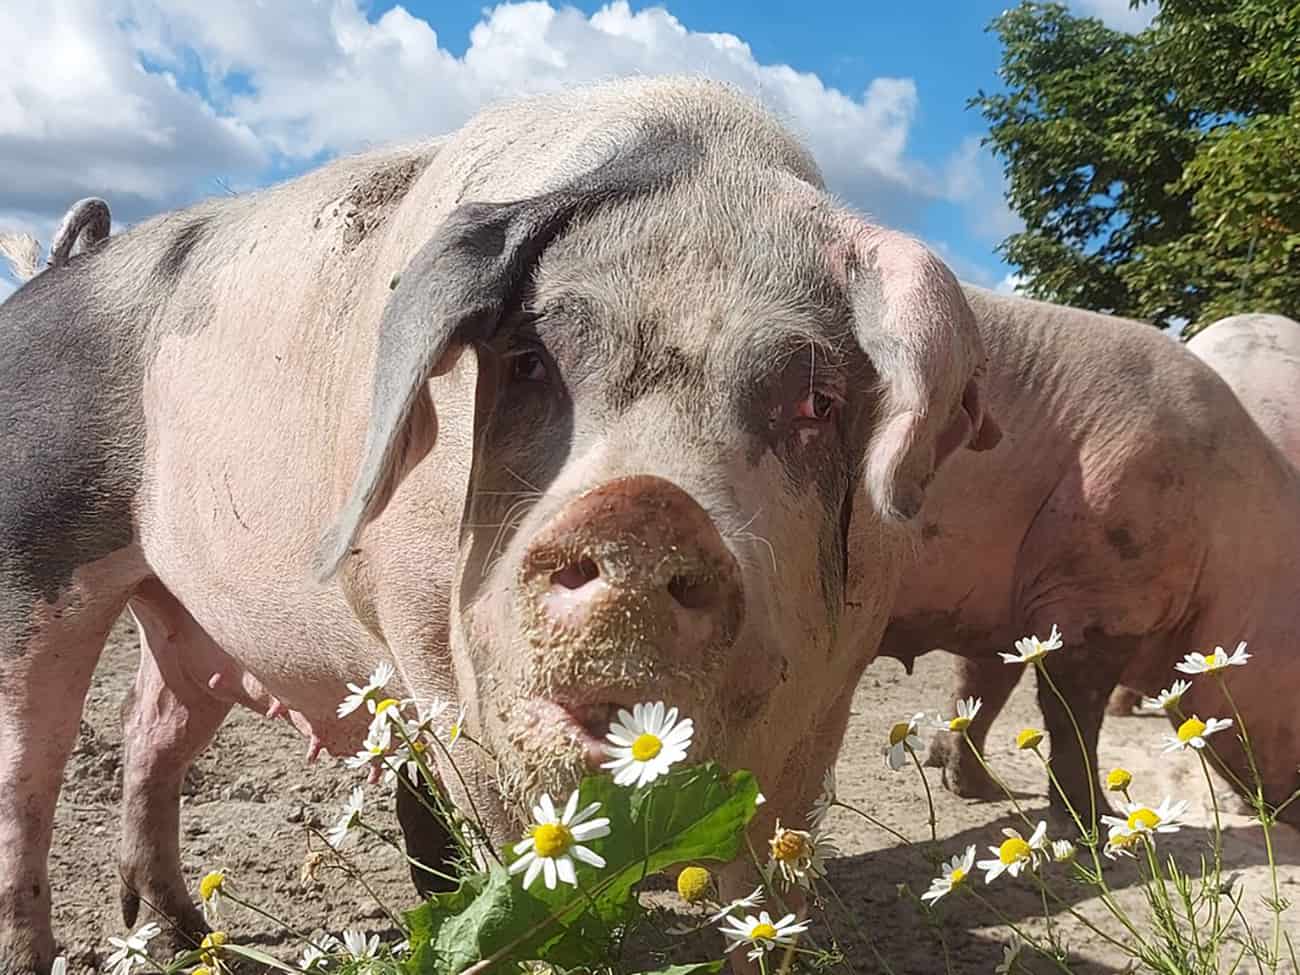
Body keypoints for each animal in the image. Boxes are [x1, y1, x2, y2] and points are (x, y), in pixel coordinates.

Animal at [0, 75, 996, 971]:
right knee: (28, 775)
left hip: (181, 606)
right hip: (34, 543)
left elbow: (767, 895)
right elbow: (489, 860)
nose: (644, 510)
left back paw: (179, 934)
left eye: (817, 398)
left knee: (150, 725)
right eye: (527, 361)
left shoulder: (831, 694)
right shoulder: (424, 646)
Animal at [878, 288, 1300, 829]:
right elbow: (1074, 711)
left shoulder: (1006, 598)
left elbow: (982, 687)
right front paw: (1098, 822)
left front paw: (977, 791)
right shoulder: (1102, 580)